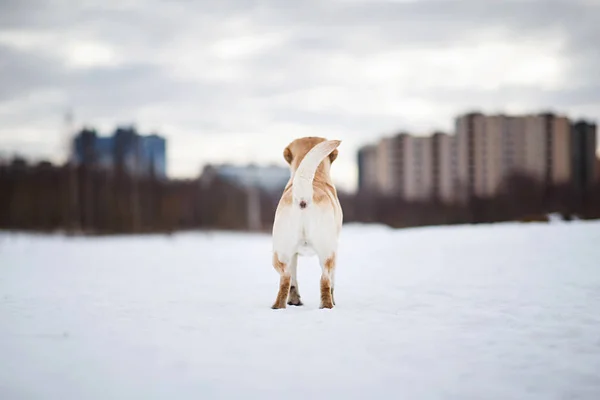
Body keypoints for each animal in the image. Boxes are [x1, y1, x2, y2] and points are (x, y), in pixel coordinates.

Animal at [270, 138, 342, 310]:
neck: (316, 177)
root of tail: (303, 197)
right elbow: (332, 282)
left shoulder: (293, 255)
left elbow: (293, 281)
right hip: (328, 254)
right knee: (325, 280)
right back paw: (327, 306)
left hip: (280, 254)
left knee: (286, 278)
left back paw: (279, 306)